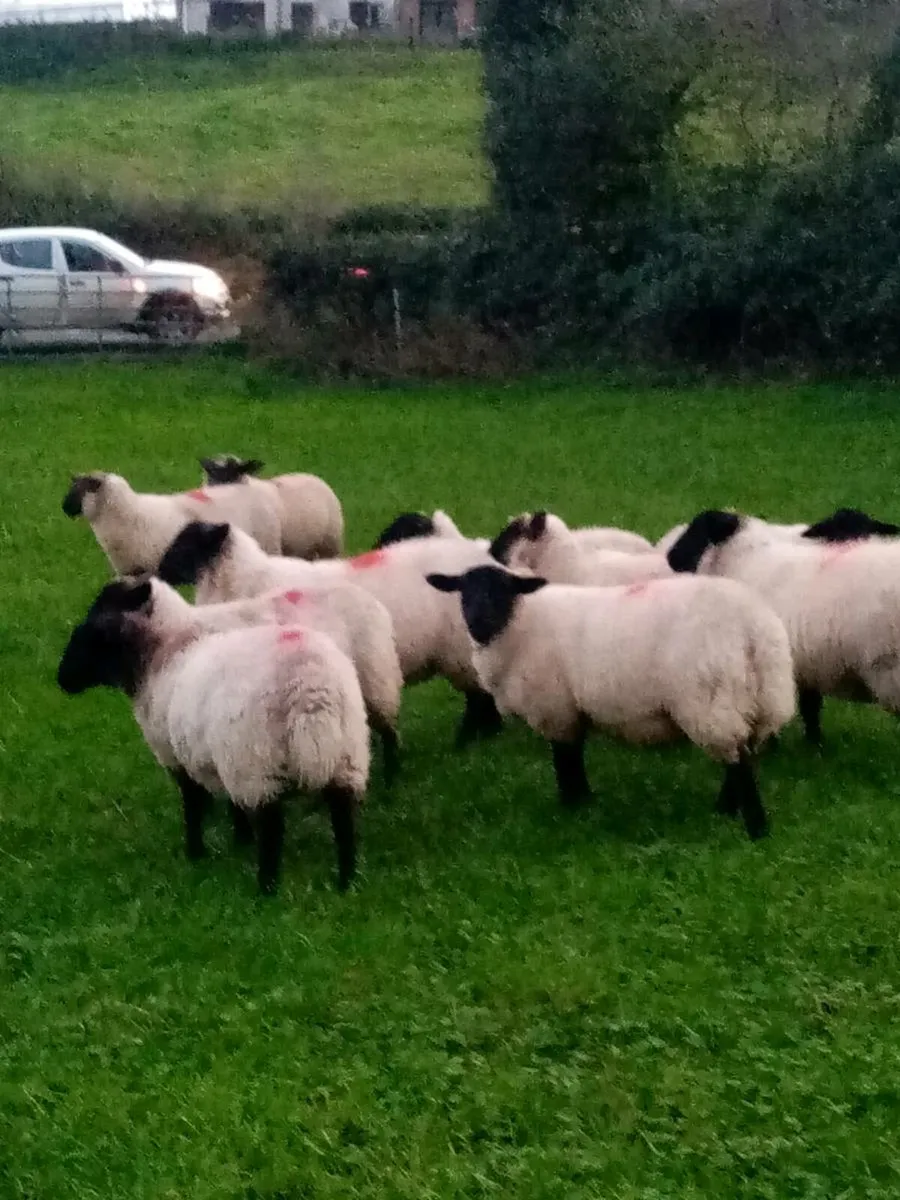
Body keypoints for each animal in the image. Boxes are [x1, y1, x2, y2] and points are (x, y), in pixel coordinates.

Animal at [57, 577, 370, 894]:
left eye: (97, 629)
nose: (62, 679)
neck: (165, 650)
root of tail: (310, 685)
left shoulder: (178, 755)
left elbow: (193, 804)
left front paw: (195, 853)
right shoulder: (217, 756)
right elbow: (232, 804)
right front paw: (241, 840)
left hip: (255, 766)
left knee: (272, 830)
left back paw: (266, 888)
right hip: (347, 757)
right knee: (344, 822)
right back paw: (346, 882)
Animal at [156, 521, 505, 748]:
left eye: (186, 544)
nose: (154, 573)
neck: (246, 581)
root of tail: (483, 553)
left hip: (460, 649)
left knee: (481, 697)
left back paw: (468, 742)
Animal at [426, 564, 795, 839]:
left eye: (503, 590)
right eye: (463, 592)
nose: (477, 623)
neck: (519, 622)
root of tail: (754, 626)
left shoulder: (556, 708)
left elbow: (566, 760)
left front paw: (571, 805)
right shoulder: (570, 710)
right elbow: (574, 757)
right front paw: (585, 803)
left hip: (711, 697)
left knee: (738, 762)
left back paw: (754, 827)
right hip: (763, 698)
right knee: (746, 755)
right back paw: (726, 811)